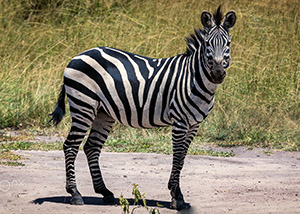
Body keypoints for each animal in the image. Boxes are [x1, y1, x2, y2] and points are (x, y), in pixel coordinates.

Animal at [49, 6, 237, 211]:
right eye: (208, 44)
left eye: (227, 44)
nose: (217, 74)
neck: (193, 78)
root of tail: (78, 55)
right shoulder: (179, 121)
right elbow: (178, 156)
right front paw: (176, 196)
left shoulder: (194, 124)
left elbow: (182, 159)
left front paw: (176, 194)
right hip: (83, 106)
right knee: (70, 146)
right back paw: (75, 193)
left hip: (102, 112)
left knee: (91, 146)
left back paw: (105, 192)